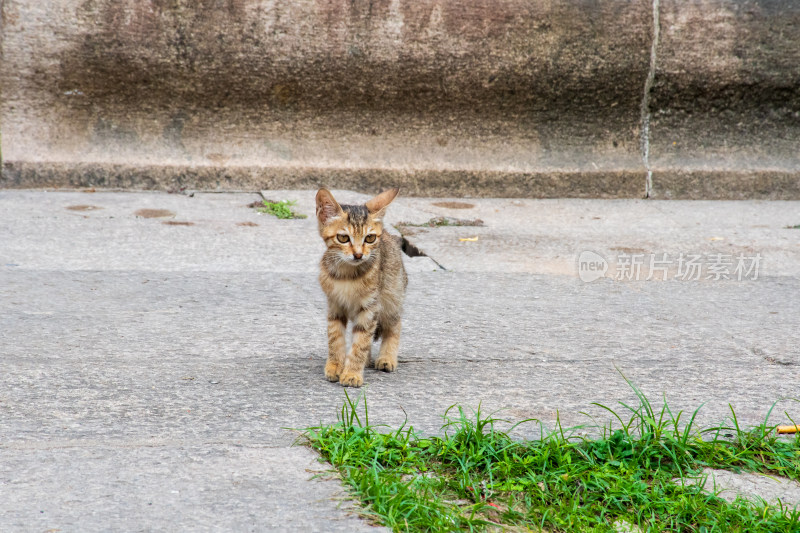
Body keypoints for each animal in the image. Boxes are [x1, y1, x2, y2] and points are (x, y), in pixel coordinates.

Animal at [316, 187, 410, 386]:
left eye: (370, 238)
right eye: (343, 238)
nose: (358, 254)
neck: (346, 275)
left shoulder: (370, 307)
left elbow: (361, 342)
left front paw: (352, 373)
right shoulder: (335, 305)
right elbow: (335, 338)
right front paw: (335, 366)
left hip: (391, 297)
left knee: (394, 325)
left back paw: (387, 358)